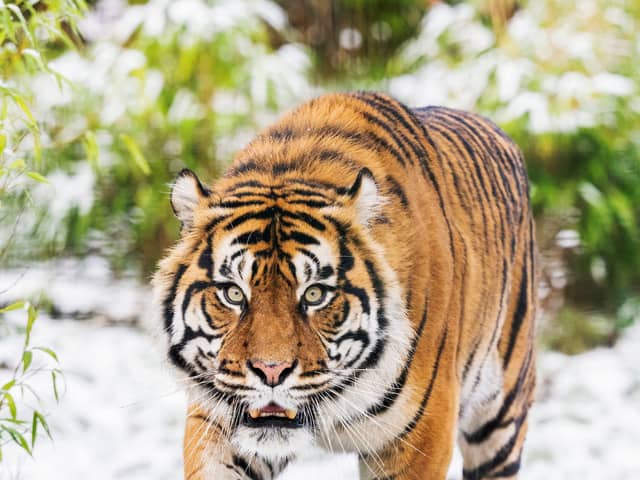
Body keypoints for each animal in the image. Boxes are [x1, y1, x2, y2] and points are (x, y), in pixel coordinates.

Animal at [152, 91, 537, 480]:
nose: (271, 371)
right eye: (232, 292)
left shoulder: (421, 436)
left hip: (500, 417)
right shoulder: (216, 419)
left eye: (315, 294)